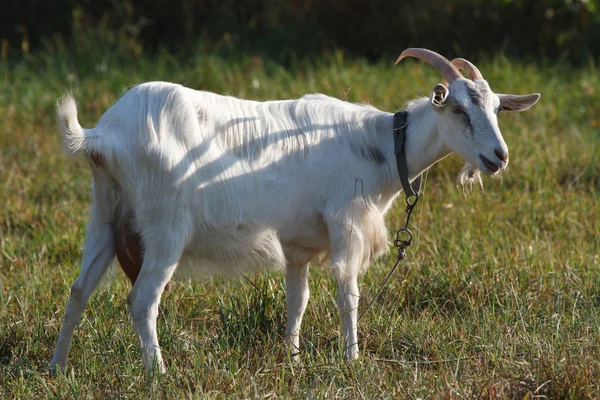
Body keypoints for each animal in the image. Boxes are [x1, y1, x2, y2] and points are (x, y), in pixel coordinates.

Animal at [50, 48, 540, 374]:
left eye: (496, 108)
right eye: (457, 108)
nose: (498, 157)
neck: (381, 146)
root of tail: (102, 135)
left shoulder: (298, 241)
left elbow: (297, 298)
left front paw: (292, 356)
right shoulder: (345, 223)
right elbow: (348, 292)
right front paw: (351, 358)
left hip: (106, 211)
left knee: (78, 290)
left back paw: (57, 367)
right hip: (166, 227)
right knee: (142, 299)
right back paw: (159, 373)